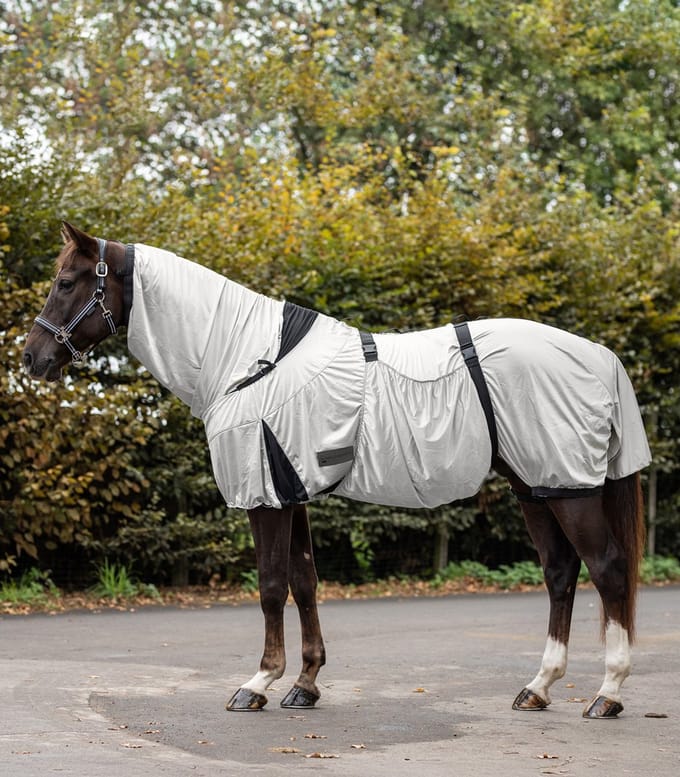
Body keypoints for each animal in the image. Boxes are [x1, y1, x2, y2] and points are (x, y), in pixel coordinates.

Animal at [23, 222, 651, 719]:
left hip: (570, 490)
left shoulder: (265, 498)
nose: (32, 358)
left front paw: (258, 683)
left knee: (608, 570)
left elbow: (271, 586)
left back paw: (609, 694)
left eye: (66, 282)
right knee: (560, 574)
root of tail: (599, 355)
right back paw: (538, 687)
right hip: (537, 487)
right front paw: (304, 684)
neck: (246, 356)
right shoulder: (289, 490)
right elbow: (304, 582)